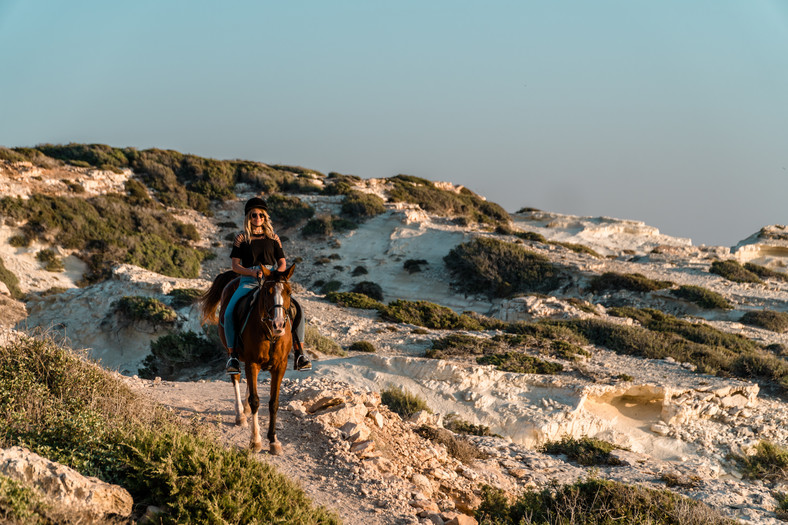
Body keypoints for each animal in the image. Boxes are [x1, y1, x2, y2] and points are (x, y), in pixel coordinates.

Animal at [197, 264, 296, 452]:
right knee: (236, 377)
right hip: (232, 352)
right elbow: (256, 400)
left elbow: (273, 402)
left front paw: (273, 440)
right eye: (267, 292)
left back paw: (246, 410)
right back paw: (240, 415)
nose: (279, 324)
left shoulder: (280, 366)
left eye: (288, 291)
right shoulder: (252, 363)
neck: (270, 335)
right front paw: (255, 440)